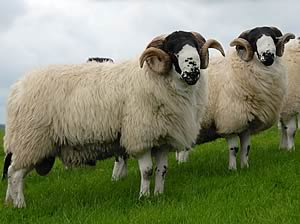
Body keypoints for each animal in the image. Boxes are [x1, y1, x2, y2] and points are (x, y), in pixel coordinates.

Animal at [1, 30, 223, 207]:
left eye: (195, 47)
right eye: (172, 51)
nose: (193, 72)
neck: (153, 79)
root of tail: (17, 87)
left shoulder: (162, 139)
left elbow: (162, 170)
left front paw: (159, 195)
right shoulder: (140, 136)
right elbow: (147, 171)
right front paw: (144, 197)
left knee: (14, 174)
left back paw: (11, 202)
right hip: (30, 141)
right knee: (15, 174)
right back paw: (20, 205)